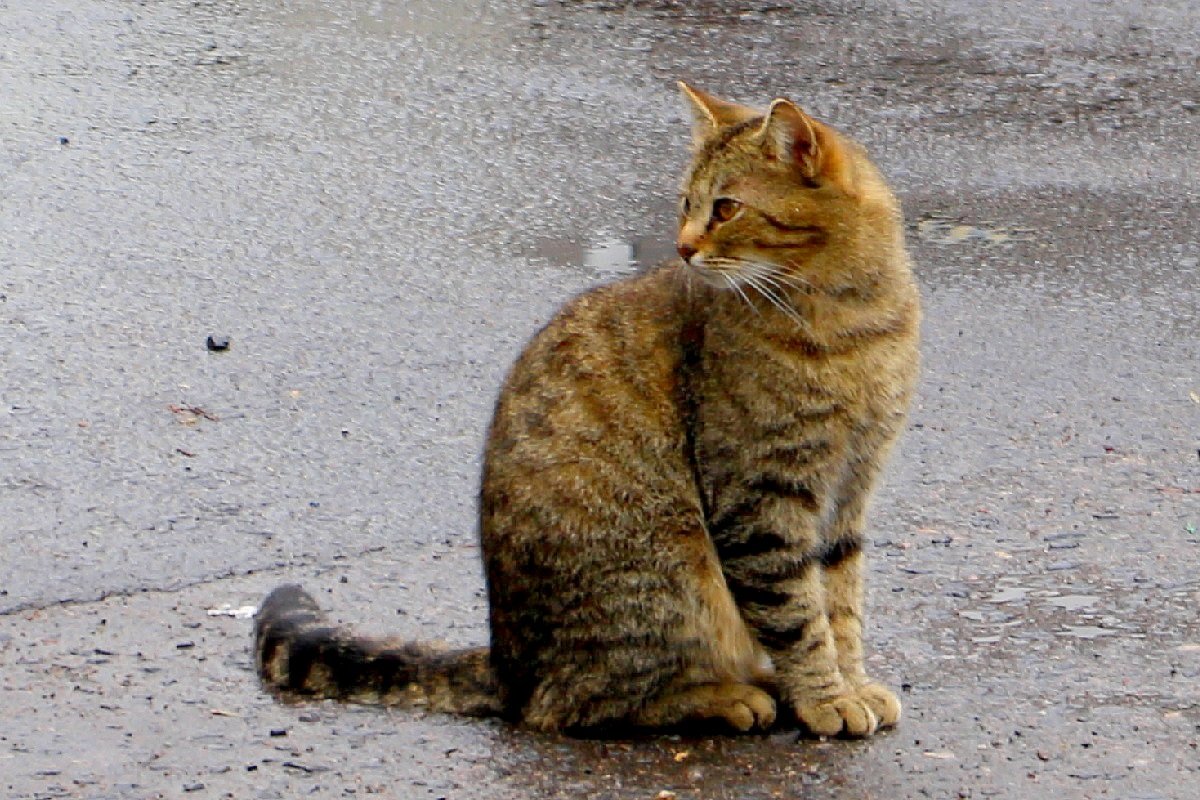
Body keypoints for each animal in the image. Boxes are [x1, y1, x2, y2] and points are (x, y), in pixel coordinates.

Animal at [258, 82, 921, 738]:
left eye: (726, 209)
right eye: (687, 203)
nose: (682, 247)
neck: (852, 319)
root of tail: (506, 662)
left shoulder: (850, 491)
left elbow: (840, 605)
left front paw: (852, 683)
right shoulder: (762, 498)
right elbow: (798, 616)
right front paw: (824, 697)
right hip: (669, 565)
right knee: (572, 705)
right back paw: (725, 695)